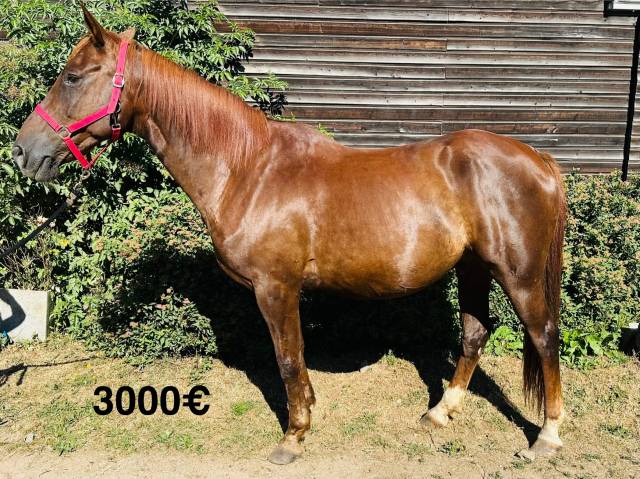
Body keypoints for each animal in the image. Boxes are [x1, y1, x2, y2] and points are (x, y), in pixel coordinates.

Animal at [13, 6, 566, 465]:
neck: (248, 169)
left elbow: (288, 360)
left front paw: (293, 436)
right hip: (472, 267)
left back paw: (547, 436)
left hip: (516, 273)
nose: (22, 151)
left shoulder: (276, 288)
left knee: (543, 335)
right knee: (475, 333)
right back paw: (440, 412)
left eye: (73, 77)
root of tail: (537, 159)